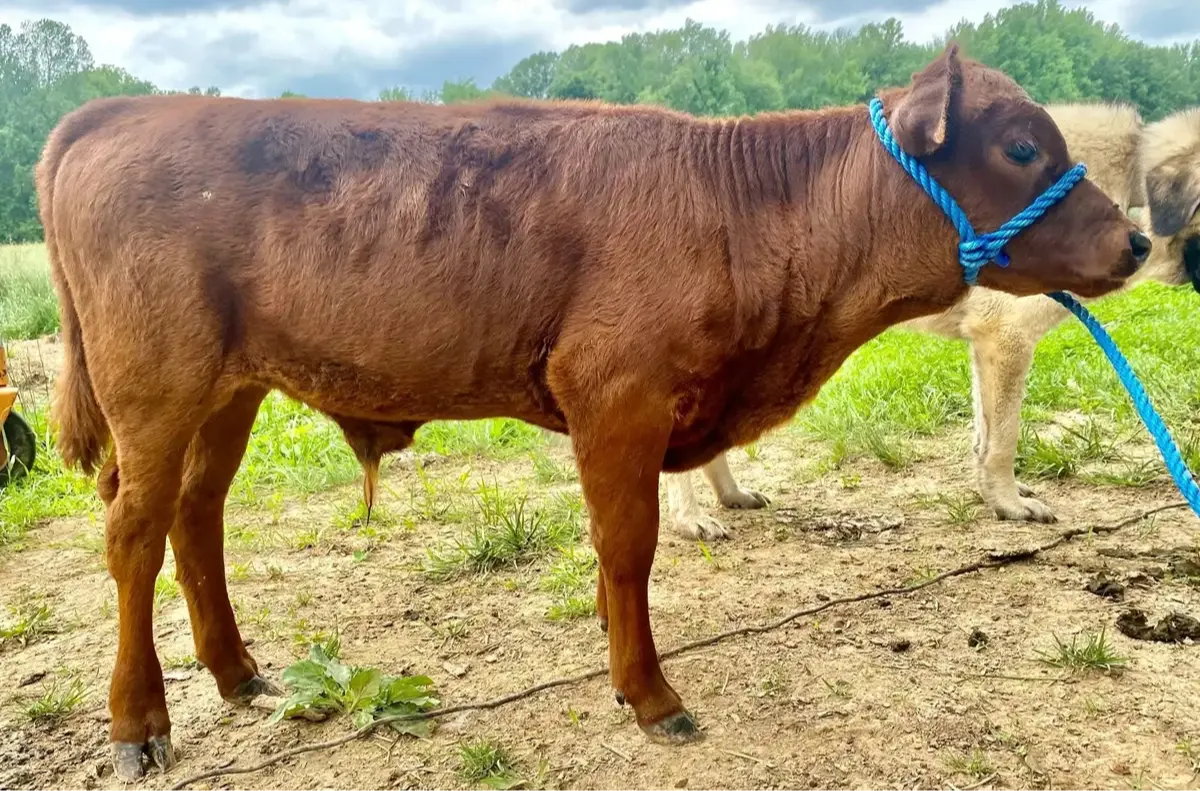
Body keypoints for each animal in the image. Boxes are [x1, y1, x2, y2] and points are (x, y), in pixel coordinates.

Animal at [667, 102, 1200, 540]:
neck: (1129, 180)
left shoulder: (986, 347)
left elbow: (985, 434)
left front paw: (996, 493)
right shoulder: (1006, 338)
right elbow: (1005, 437)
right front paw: (1009, 504)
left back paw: (730, 494)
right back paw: (689, 517)